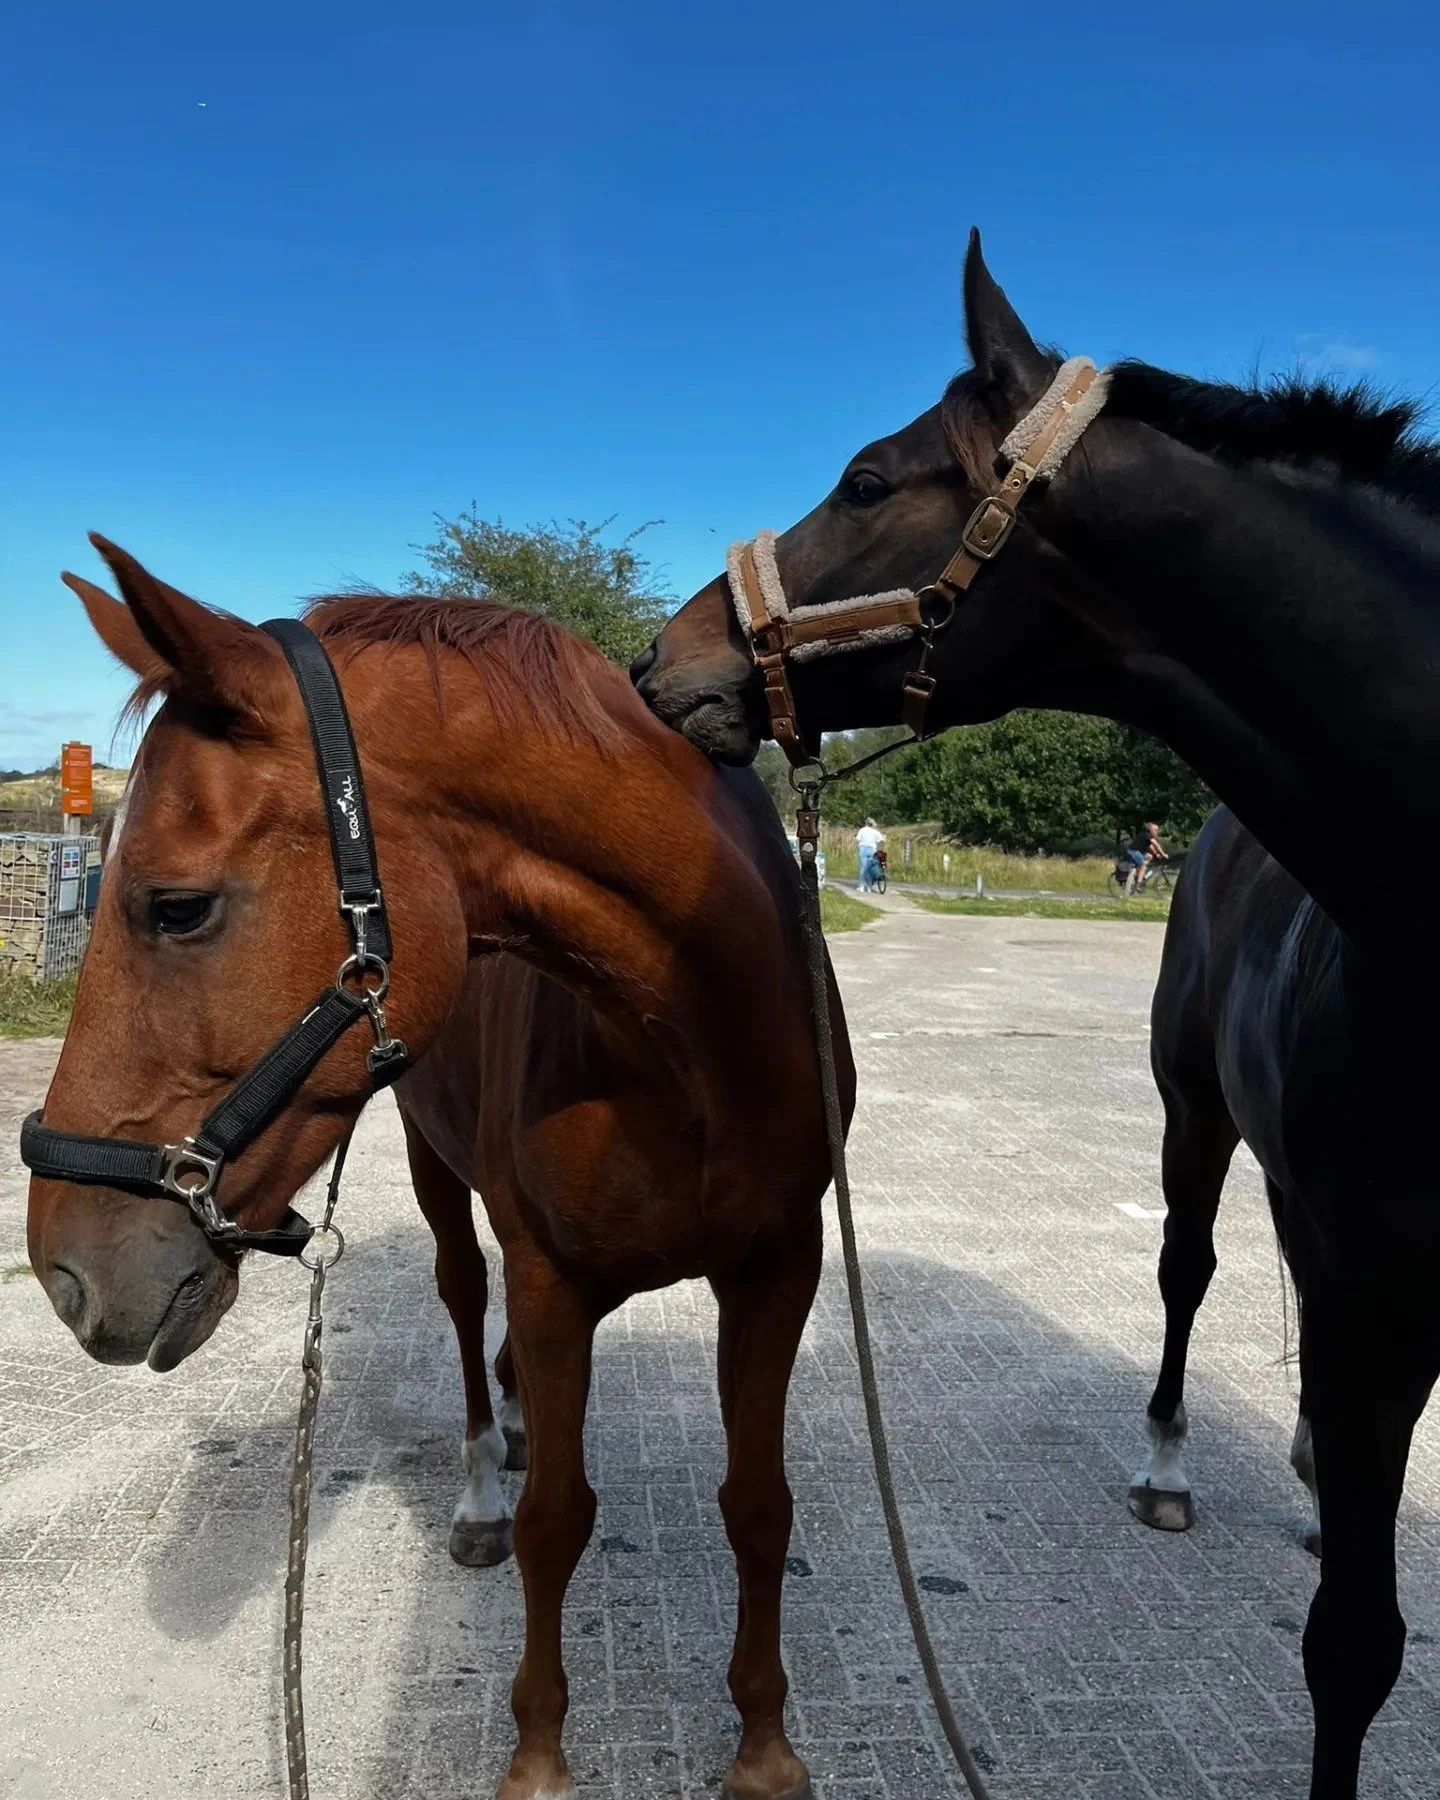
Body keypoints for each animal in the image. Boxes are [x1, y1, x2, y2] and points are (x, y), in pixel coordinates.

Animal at [26, 537, 854, 1800]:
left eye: (176, 907)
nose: (65, 1275)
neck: (689, 1039)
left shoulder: (778, 1270)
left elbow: (759, 1506)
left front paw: (764, 1749)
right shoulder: (553, 1280)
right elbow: (553, 1520)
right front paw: (539, 1758)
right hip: (437, 1177)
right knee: (468, 1313)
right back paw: (479, 1480)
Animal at [632, 232, 1440, 1799]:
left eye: (869, 480)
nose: (659, 661)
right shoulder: (1371, 1291)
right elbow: (1353, 1643)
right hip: (1198, 1119)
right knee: (1190, 1270)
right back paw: (1183, 1469)